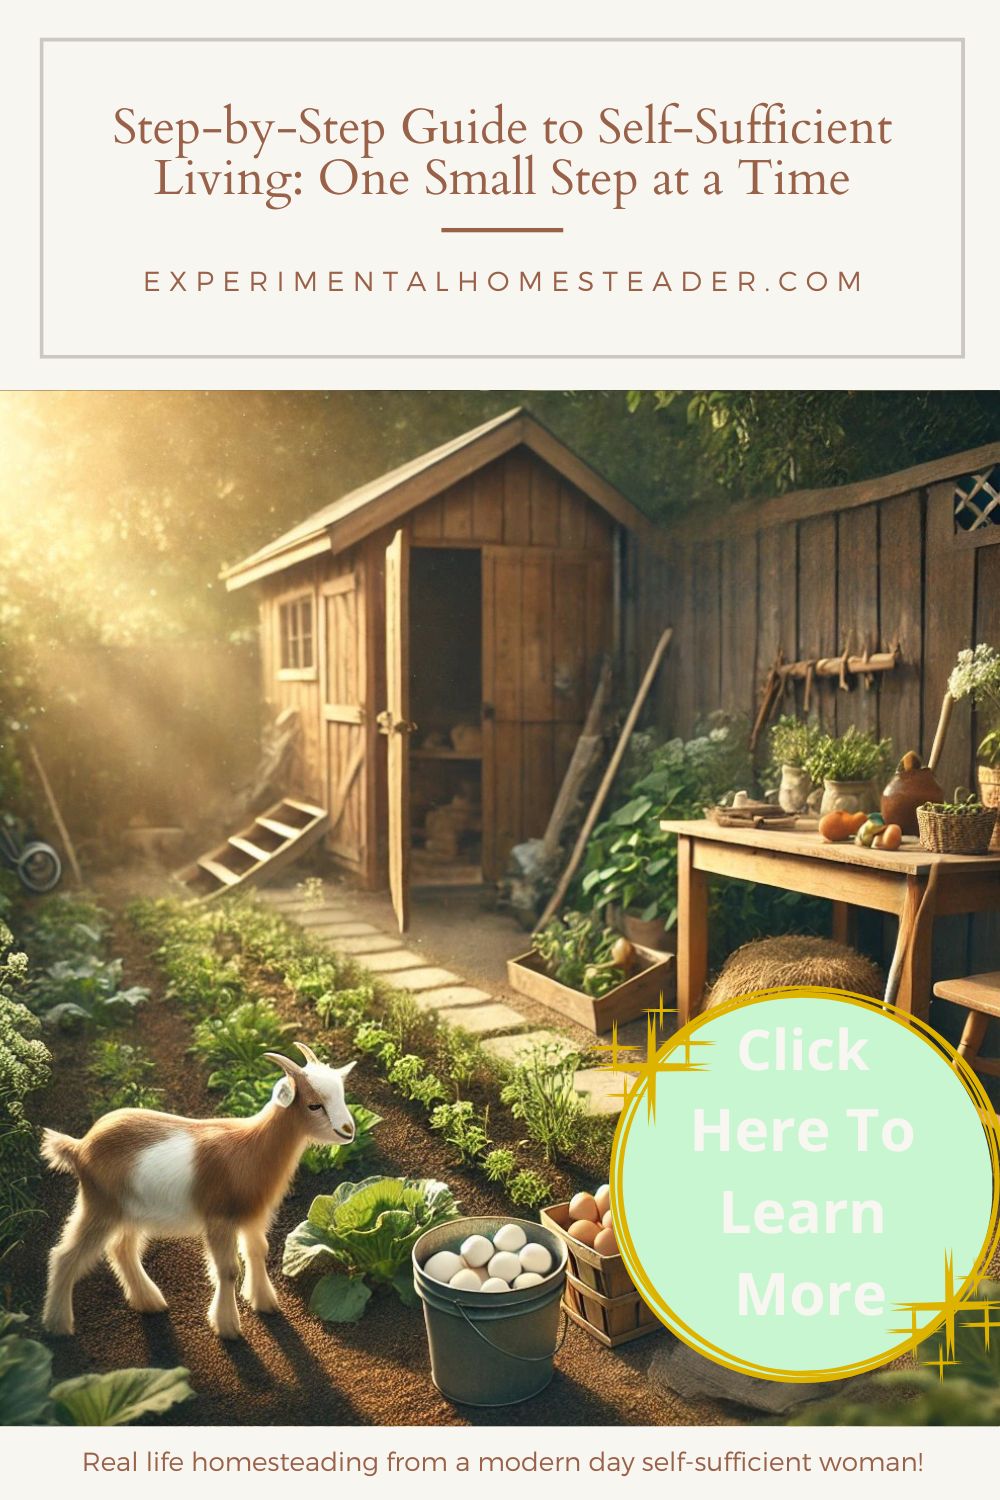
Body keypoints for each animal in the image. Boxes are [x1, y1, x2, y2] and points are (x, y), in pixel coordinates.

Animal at [41, 1038, 358, 1344]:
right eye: (314, 1105)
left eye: (341, 1095)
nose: (348, 1130)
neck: (251, 1147)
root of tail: (79, 1146)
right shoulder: (219, 1220)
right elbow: (228, 1270)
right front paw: (227, 1327)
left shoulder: (253, 1216)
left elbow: (258, 1251)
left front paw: (265, 1302)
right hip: (100, 1204)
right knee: (65, 1256)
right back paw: (58, 1324)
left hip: (130, 1210)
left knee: (122, 1249)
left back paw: (149, 1301)